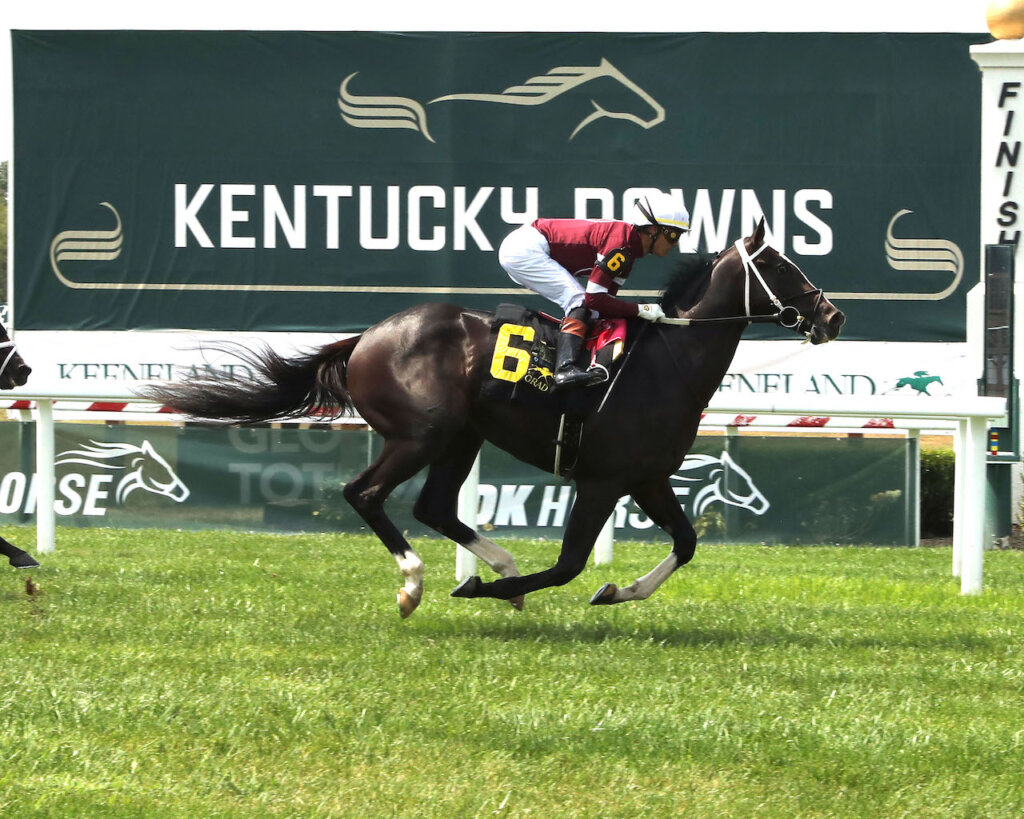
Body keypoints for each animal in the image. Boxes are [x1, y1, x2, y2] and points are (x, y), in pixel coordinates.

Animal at [146, 221, 847, 618]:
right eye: (779, 265)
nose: (832, 316)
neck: (667, 361)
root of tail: (366, 337)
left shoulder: (646, 477)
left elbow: (687, 542)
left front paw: (615, 592)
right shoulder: (601, 480)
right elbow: (568, 566)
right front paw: (482, 591)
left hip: (463, 435)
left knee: (432, 507)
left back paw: (501, 571)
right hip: (422, 432)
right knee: (365, 493)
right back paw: (419, 585)